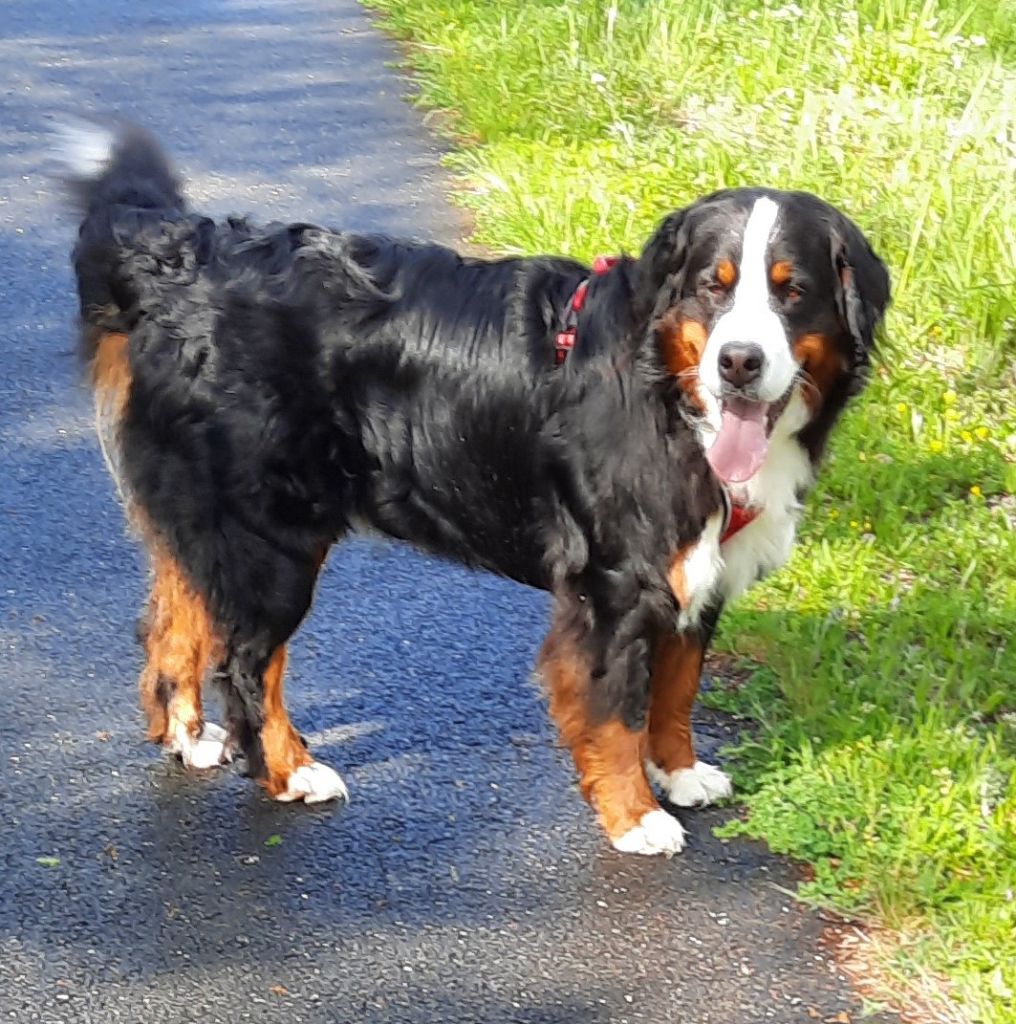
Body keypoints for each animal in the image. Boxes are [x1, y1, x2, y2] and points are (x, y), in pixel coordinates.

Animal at [57, 119, 889, 856]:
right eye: (714, 290)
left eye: (792, 291)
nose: (739, 362)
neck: (669, 393)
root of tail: (181, 257)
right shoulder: (615, 583)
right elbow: (617, 708)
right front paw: (636, 817)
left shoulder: (696, 572)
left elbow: (677, 688)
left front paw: (679, 773)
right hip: (275, 538)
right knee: (249, 662)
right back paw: (288, 771)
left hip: (211, 520)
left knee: (173, 624)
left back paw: (190, 737)